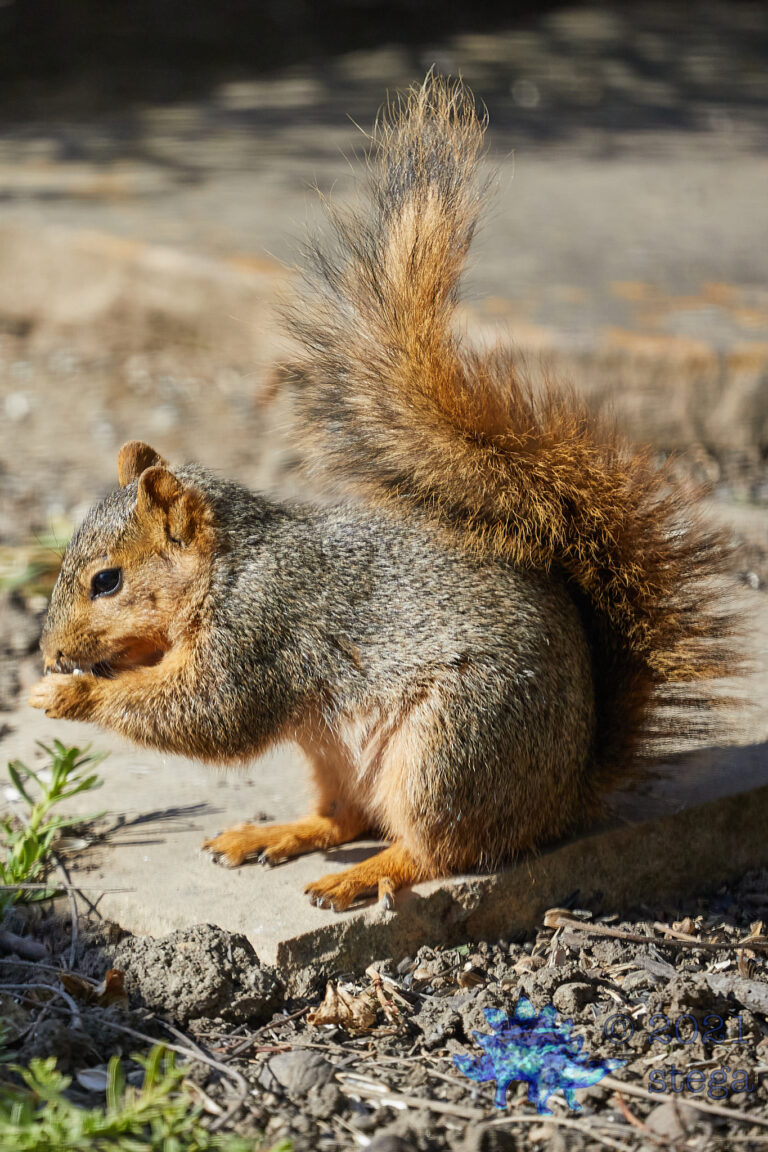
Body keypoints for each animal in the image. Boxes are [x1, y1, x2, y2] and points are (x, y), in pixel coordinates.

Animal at [29, 76, 737, 912]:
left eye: (107, 581)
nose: (51, 653)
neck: (229, 569)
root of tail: (563, 796)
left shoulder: (262, 632)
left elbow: (211, 716)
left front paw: (70, 699)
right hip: (338, 751)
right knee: (346, 816)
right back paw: (276, 834)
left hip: (451, 747)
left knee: (441, 850)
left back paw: (364, 875)